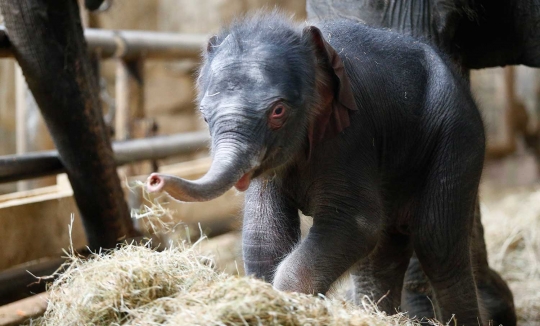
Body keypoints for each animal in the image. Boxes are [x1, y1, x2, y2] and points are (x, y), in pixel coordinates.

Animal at [147, 11, 516, 324]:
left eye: (278, 111)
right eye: (204, 115)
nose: (153, 180)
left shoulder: (351, 136)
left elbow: (355, 223)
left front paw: (289, 302)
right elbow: (264, 235)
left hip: (457, 136)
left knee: (437, 242)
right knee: (384, 251)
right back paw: (375, 314)